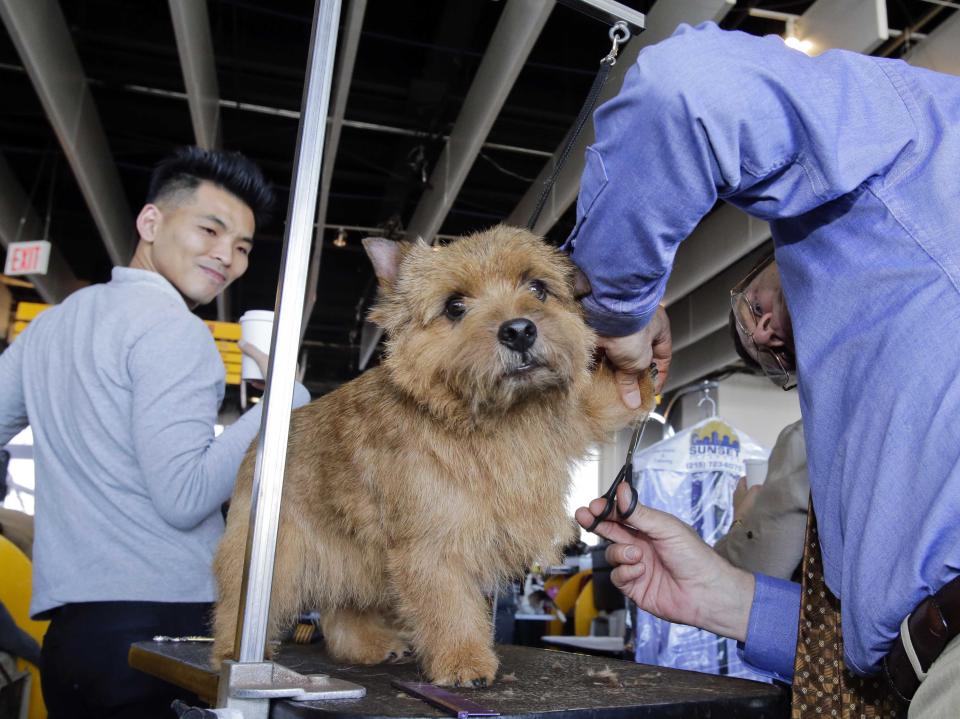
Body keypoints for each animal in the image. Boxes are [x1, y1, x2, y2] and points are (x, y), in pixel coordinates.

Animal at [211, 224, 656, 688]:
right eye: (455, 306)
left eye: (537, 287)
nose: (519, 330)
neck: (495, 418)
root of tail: (259, 444)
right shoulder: (433, 542)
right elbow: (448, 606)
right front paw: (463, 663)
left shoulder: (570, 419)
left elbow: (599, 404)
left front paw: (641, 371)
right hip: (275, 554)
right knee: (235, 606)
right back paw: (230, 656)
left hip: (355, 555)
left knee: (344, 611)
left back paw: (368, 647)